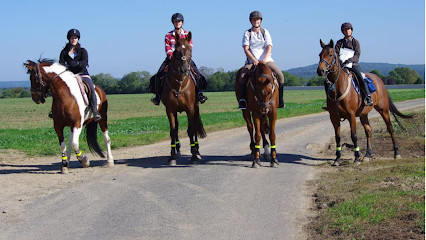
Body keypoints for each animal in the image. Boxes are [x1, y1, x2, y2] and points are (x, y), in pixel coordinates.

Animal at [160, 31, 206, 166]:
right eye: (176, 51)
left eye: (190, 49)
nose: (184, 69)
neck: (179, 83)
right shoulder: (170, 110)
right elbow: (173, 131)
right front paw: (172, 156)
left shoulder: (190, 108)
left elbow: (191, 130)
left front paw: (194, 155)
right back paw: (178, 150)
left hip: (195, 107)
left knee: (195, 127)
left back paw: (197, 151)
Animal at [316, 39, 412, 167]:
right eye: (319, 55)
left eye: (331, 55)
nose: (320, 70)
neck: (337, 88)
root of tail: (379, 79)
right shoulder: (334, 117)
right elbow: (337, 137)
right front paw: (337, 158)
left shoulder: (351, 115)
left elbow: (354, 136)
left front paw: (356, 158)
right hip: (363, 114)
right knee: (368, 130)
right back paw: (367, 154)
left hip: (383, 110)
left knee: (390, 128)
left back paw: (396, 153)